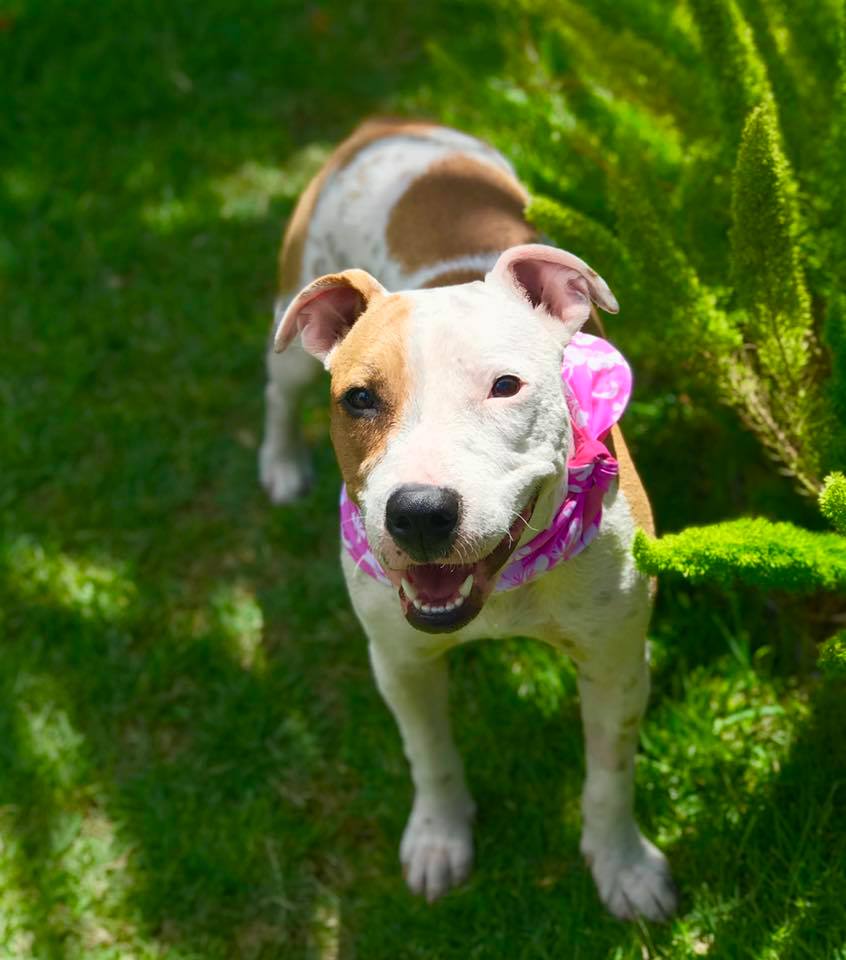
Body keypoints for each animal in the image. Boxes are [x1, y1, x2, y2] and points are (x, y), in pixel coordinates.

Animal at [262, 120, 680, 924]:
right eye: (359, 399)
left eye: (506, 386)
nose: (419, 513)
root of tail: (389, 125)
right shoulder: (398, 659)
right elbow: (429, 757)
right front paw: (439, 838)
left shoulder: (616, 661)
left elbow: (610, 774)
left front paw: (622, 864)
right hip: (293, 326)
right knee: (277, 389)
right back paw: (280, 462)